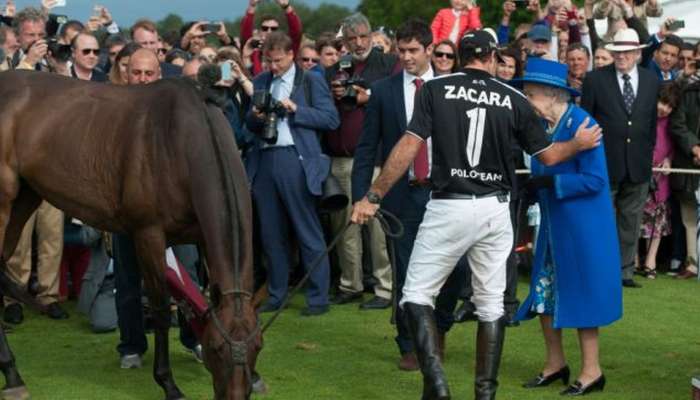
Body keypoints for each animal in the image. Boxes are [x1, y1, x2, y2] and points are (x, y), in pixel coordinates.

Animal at [0, 70, 260, 398]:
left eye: (258, 347)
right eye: (216, 348)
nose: (235, 394)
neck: (181, 139)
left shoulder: (201, 235)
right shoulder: (148, 234)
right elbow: (160, 308)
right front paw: (168, 382)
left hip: (25, 197)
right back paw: (12, 372)